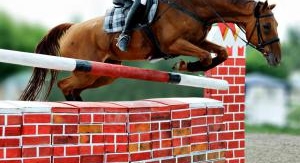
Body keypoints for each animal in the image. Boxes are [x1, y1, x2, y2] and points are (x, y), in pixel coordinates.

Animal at [20, 0, 282, 100]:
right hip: (86, 70)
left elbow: (221, 53)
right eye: (266, 26)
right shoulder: (173, 43)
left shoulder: (198, 40)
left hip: (104, 73)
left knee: (73, 87)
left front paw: (189, 65)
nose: (276, 59)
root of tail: (72, 28)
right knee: (65, 84)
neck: (196, 8)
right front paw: (186, 65)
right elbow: (207, 56)